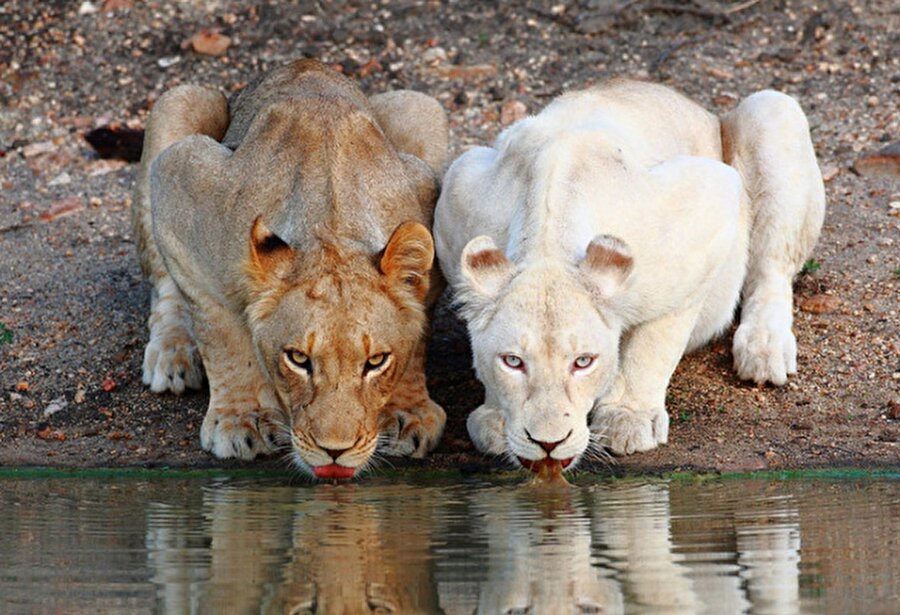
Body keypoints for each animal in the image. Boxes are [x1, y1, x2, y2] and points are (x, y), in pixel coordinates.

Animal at [432, 78, 828, 472]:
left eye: (583, 362)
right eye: (513, 361)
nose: (548, 444)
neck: (547, 239)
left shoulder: (709, 204)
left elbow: (654, 342)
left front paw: (627, 418)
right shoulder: (457, 190)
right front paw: (496, 419)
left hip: (772, 111)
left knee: (771, 268)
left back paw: (764, 349)